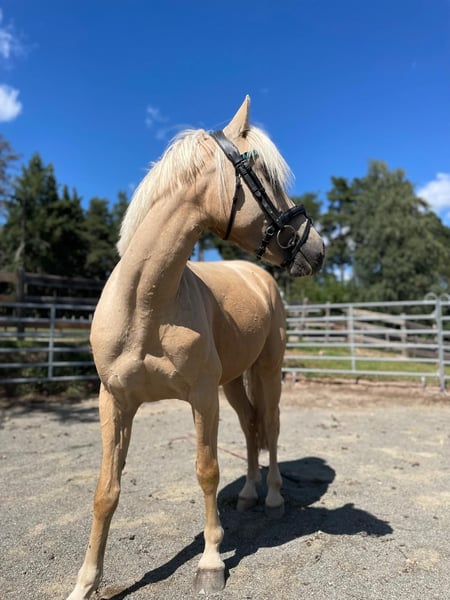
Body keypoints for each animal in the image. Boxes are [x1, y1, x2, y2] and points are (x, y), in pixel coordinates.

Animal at [66, 96, 324, 599]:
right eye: (267, 176)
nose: (318, 249)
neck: (146, 305)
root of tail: (258, 276)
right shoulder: (115, 402)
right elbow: (106, 490)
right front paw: (86, 582)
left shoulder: (202, 398)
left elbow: (207, 471)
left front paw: (210, 563)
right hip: (234, 383)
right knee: (251, 426)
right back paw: (248, 495)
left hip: (268, 371)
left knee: (272, 427)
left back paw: (274, 497)